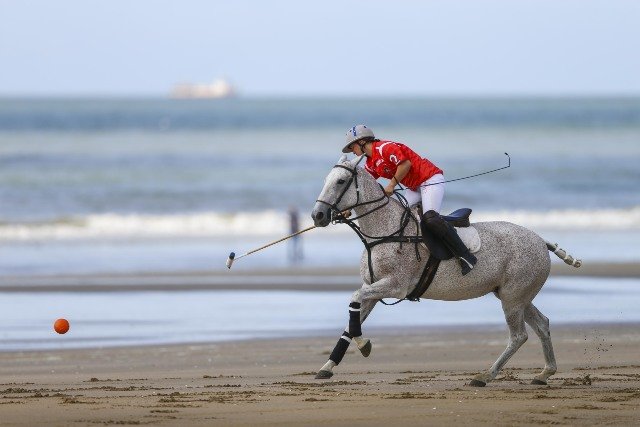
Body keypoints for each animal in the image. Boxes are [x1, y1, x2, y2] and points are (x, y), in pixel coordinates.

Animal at [310, 155, 581, 387]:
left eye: (341, 181)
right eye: (325, 180)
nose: (318, 215)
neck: (386, 231)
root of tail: (541, 240)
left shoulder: (395, 286)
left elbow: (354, 299)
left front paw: (363, 344)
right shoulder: (373, 290)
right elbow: (351, 322)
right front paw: (327, 366)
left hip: (513, 298)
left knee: (519, 336)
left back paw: (485, 376)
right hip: (515, 295)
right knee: (542, 325)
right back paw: (544, 373)